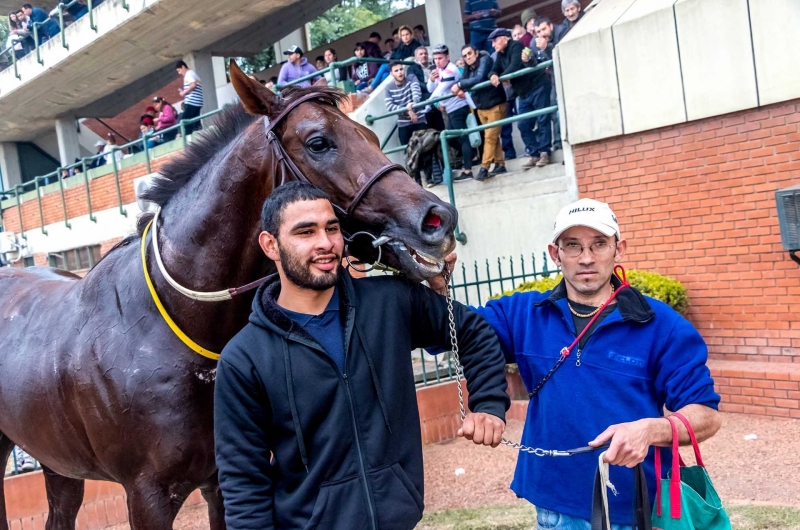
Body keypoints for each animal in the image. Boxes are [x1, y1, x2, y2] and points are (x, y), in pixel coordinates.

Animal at [0, 63, 456, 528]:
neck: (163, 329)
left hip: (58, 464)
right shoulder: (147, 495)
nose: (437, 218)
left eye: (368, 135)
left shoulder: (221, 479)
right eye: (318, 142)